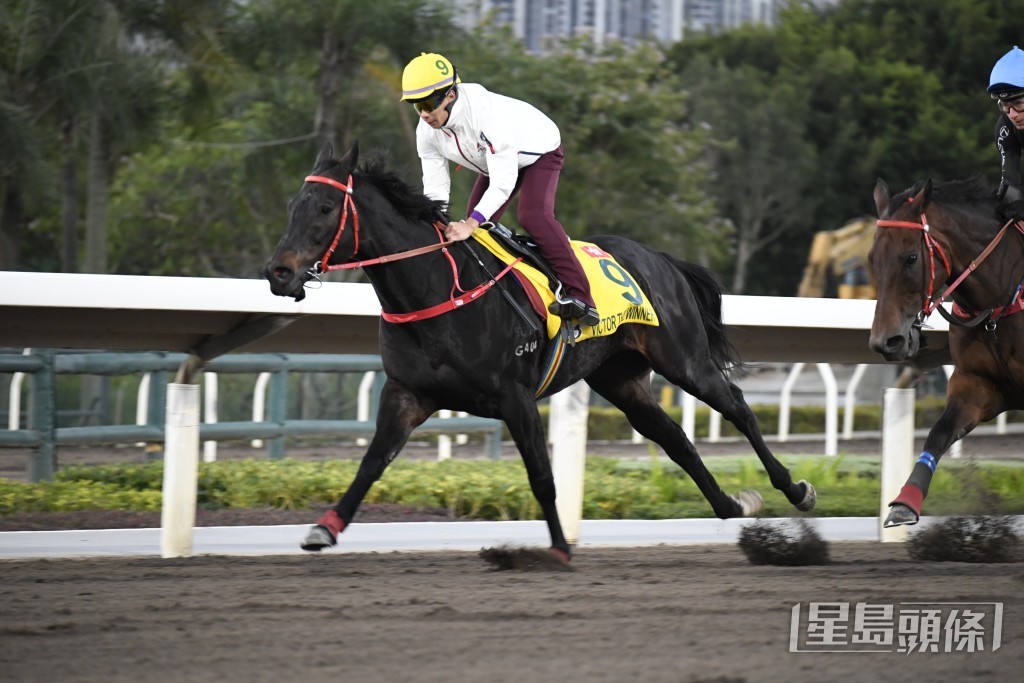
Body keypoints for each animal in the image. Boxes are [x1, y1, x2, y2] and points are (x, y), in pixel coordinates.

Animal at [264, 141, 815, 557]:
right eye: (292, 206)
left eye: (325, 208)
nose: (279, 272)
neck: (439, 289)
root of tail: (660, 257)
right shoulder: (407, 394)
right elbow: (372, 463)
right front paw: (325, 527)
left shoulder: (515, 396)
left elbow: (542, 477)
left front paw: (560, 549)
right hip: (621, 381)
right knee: (676, 439)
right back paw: (732, 505)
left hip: (684, 360)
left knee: (738, 407)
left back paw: (796, 489)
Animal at [864, 178, 1024, 528]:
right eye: (871, 258)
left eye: (911, 257)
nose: (886, 341)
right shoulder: (977, 384)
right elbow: (939, 433)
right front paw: (904, 502)